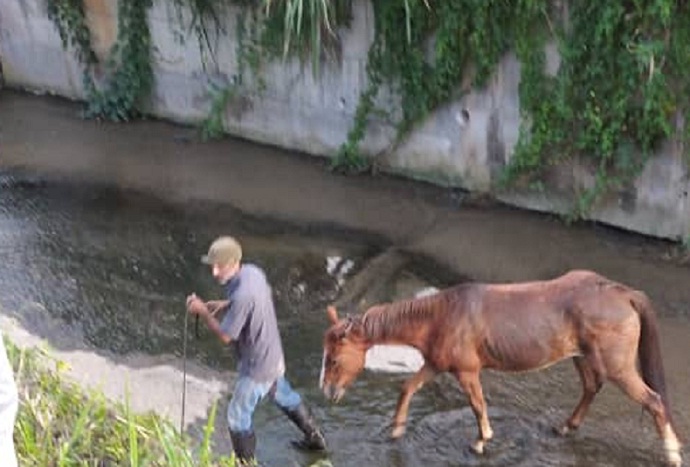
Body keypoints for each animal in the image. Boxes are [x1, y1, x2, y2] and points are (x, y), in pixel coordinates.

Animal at [320, 270, 680, 467]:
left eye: (334, 359)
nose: (327, 392)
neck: (441, 316)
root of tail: (623, 292)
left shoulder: (467, 372)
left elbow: (478, 406)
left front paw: (481, 442)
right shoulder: (436, 364)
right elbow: (407, 387)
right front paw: (396, 430)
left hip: (618, 366)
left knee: (654, 402)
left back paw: (673, 455)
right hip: (582, 357)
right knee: (592, 388)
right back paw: (566, 427)